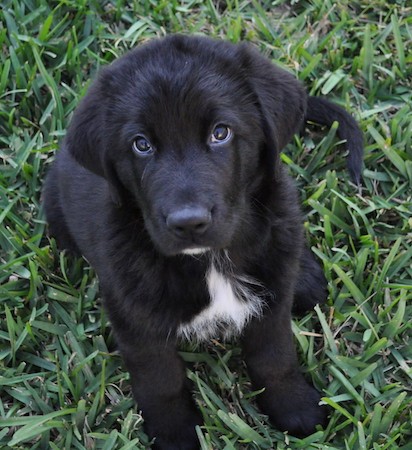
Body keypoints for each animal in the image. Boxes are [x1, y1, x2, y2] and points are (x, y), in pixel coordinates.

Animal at [43, 36, 362, 450]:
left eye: (220, 132)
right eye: (141, 144)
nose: (189, 222)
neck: (209, 260)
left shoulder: (272, 304)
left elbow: (274, 355)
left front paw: (294, 405)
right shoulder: (134, 318)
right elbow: (160, 379)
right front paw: (176, 432)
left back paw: (305, 275)